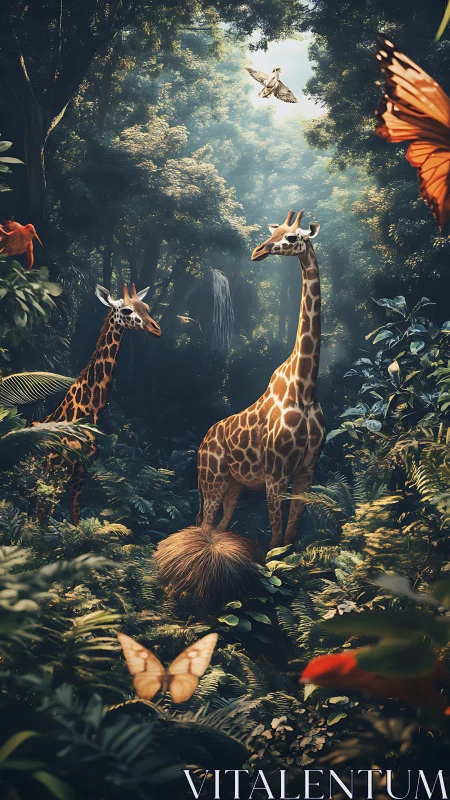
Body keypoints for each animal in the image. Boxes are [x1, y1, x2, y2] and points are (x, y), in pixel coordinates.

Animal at [34, 283, 161, 525]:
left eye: (147, 307)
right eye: (127, 310)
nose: (156, 328)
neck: (89, 412)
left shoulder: (82, 471)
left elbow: (75, 518)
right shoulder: (60, 470)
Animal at [197, 210, 326, 549]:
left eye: (291, 237)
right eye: (273, 232)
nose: (258, 251)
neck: (305, 387)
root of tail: (202, 442)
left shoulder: (307, 471)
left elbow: (290, 537)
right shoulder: (275, 473)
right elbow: (276, 540)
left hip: (233, 484)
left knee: (219, 526)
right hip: (211, 479)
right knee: (203, 526)